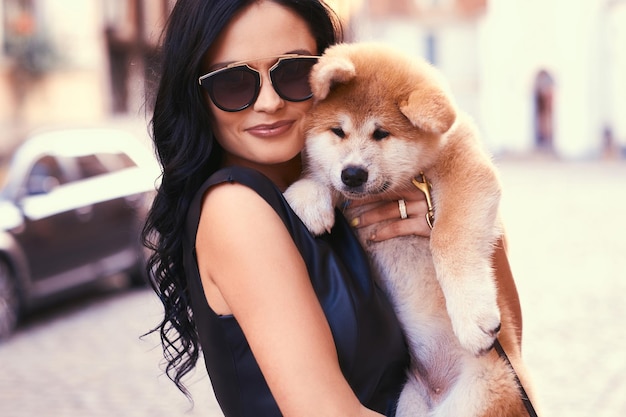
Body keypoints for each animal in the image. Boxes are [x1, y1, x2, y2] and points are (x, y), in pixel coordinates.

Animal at [286, 41, 532, 416]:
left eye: (381, 133)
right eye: (338, 131)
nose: (353, 174)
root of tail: (437, 387)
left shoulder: (467, 172)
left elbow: (446, 238)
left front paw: (472, 316)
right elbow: (320, 174)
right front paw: (308, 195)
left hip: (486, 390)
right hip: (411, 401)